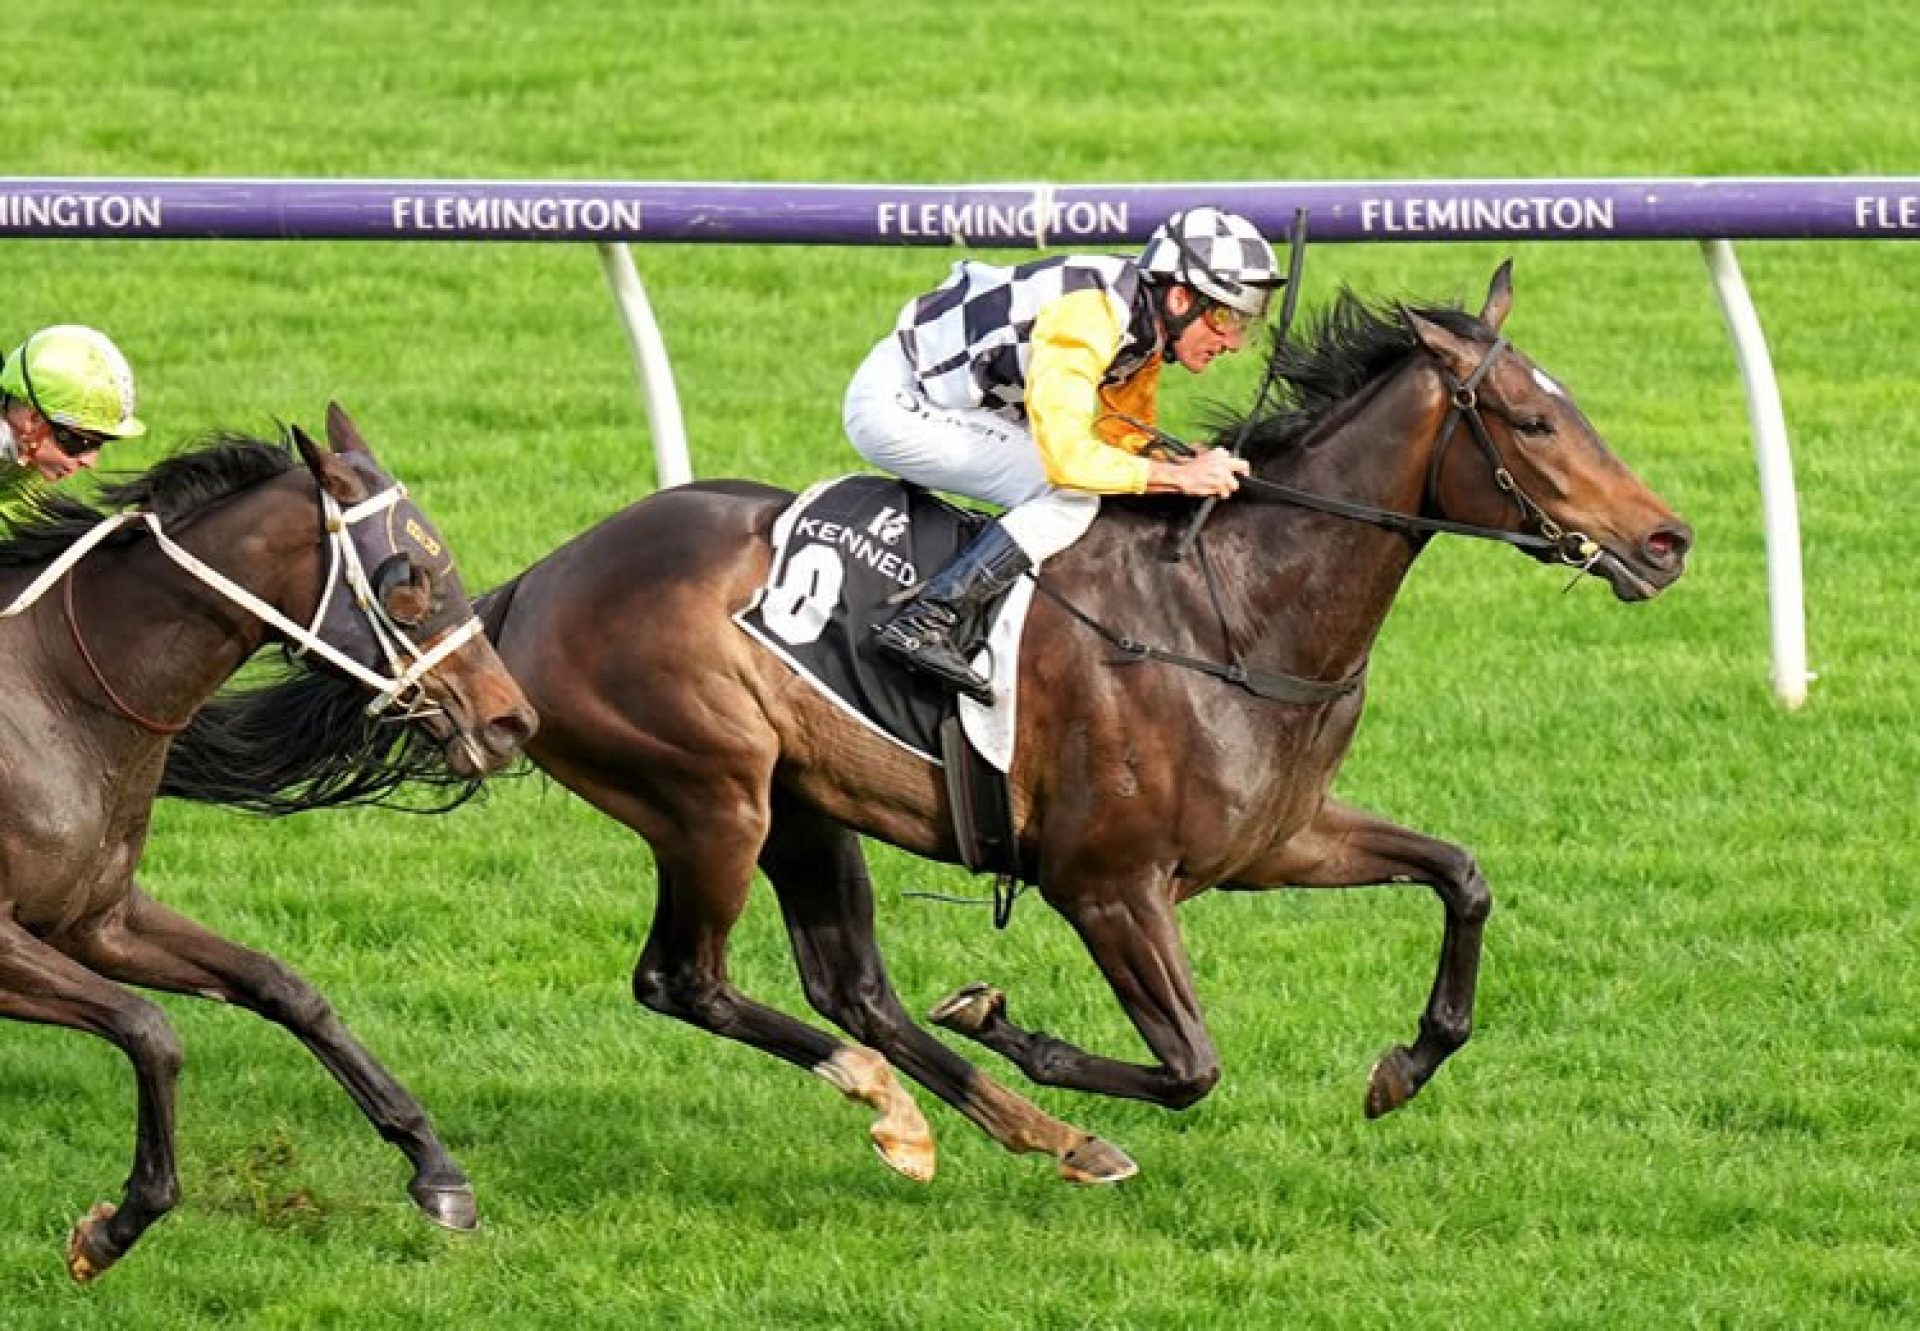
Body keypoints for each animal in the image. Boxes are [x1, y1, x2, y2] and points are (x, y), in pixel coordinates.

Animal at [1, 407, 533, 1275]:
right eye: (407, 580)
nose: (510, 720)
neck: (60, 687)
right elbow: (151, 1030)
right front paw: (115, 1227)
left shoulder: (97, 919)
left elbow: (283, 986)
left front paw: (437, 1168)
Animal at [168, 266, 1697, 1183]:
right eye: (1528, 422)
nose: (1669, 539)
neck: (1236, 607)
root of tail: (523, 593)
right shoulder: (1105, 880)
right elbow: (1191, 1063)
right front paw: (1023, 1025)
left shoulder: (1278, 837)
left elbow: (1461, 875)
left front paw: (1400, 1067)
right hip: (712, 791)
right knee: (688, 980)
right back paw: (958, 1105)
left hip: (804, 805)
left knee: (851, 986)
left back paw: (1015, 1121)